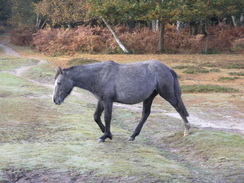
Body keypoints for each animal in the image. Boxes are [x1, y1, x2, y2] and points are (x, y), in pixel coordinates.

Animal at [53, 60, 191, 143]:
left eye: (59, 83)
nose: (55, 100)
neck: (100, 76)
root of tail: (167, 69)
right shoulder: (101, 100)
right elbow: (96, 116)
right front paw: (108, 134)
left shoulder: (108, 101)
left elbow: (107, 117)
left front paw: (105, 136)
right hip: (149, 97)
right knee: (145, 114)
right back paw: (132, 136)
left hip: (167, 94)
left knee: (179, 107)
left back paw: (187, 130)